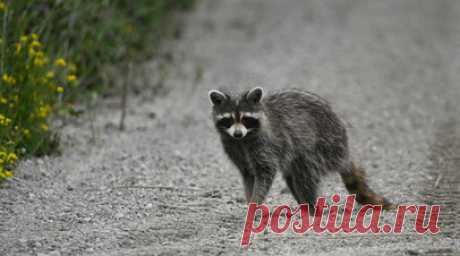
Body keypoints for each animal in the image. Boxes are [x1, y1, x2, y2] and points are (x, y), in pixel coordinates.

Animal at [208, 87, 392, 211]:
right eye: (228, 120)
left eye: (246, 119)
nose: (238, 133)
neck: (243, 140)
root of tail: (344, 149)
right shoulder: (235, 150)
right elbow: (248, 176)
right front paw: (249, 200)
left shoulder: (267, 145)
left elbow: (265, 174)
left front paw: (255, 203)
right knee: (292, 177)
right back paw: (304, 205)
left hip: (324, 145)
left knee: (306, 172)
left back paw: (311, 207)